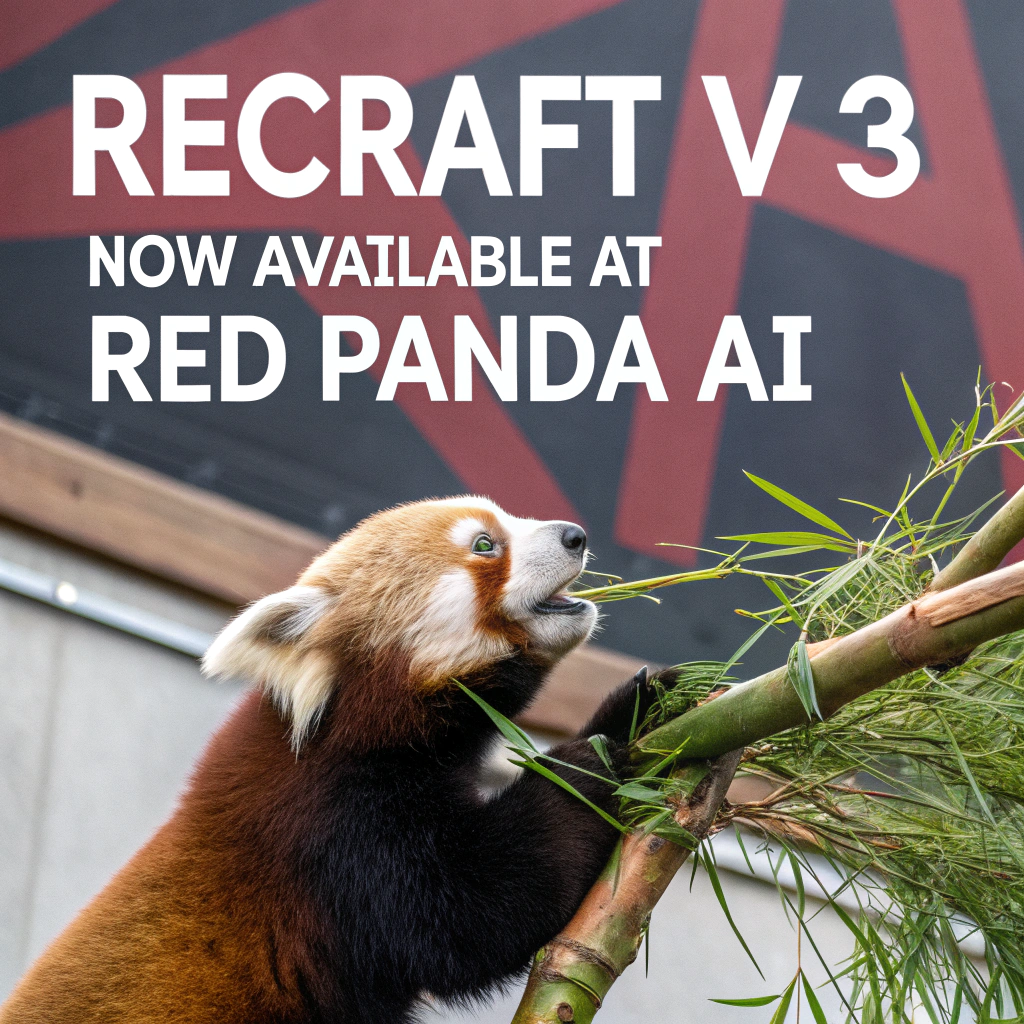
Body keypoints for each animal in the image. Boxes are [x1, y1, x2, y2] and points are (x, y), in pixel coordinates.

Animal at [1, 497, 659, 1024]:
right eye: (483, 544)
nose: (574, 535)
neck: (347, 725)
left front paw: (651, 710)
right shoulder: (327, 832)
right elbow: (475, 915)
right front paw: (591, 760)